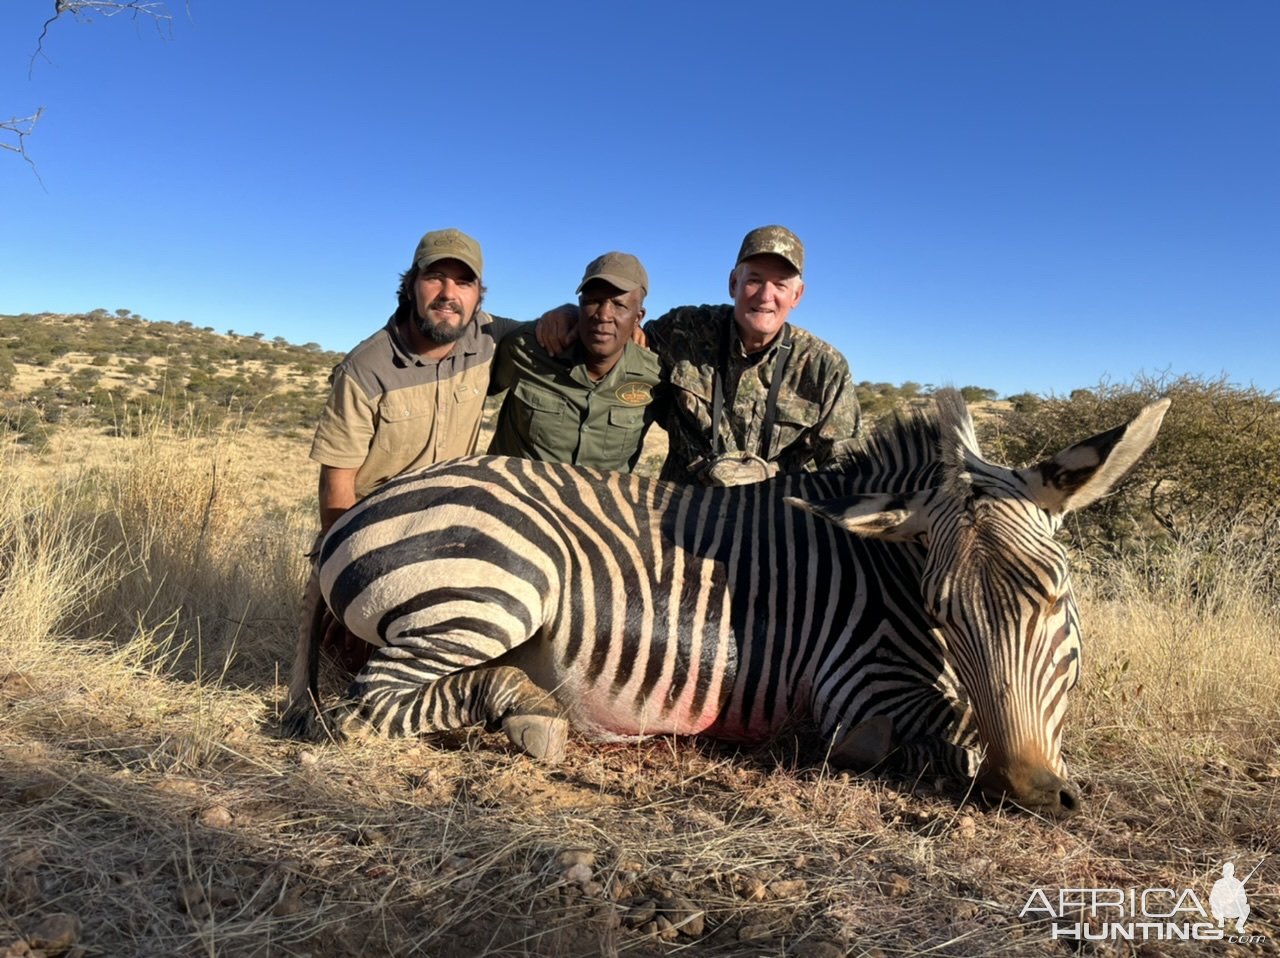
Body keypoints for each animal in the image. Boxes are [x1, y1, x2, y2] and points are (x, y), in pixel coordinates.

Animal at [282, 389, 1169, 818]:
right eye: (945, 613)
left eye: (1054, 595)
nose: (1031, 793)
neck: (888, 569)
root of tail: (351, 515)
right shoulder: (863, 684)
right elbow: (938, 728)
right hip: (499, 585)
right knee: (366, 709)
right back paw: (530, 711)